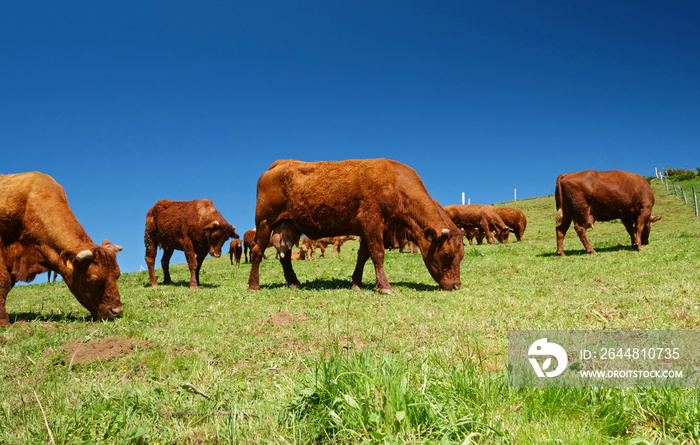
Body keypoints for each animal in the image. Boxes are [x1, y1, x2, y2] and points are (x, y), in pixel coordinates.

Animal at [247, 158, 464, 294]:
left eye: (461, 255)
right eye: (446, 253)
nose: (456, 285)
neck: (395, 182)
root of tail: (280, 164)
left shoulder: (368, 229)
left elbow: (363, 255)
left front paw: (356, 283)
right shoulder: (372, 222)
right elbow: (378, 254)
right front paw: (385, 287)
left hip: (288, 226)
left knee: (285, 254)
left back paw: (293, 283)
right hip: (265, 222)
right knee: (257, 251)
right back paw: (253, 285)